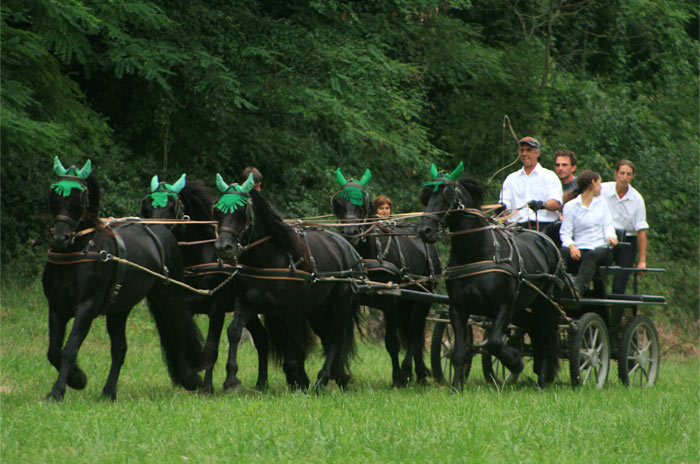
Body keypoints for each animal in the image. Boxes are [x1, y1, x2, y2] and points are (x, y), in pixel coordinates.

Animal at [43, 158, 202, 400]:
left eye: (80, 195)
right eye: (55, 192)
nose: (61, 237)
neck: (78, 251)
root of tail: (162, 231)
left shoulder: (87, 307)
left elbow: (69, 349)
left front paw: (60, 390)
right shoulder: (56, 307)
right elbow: (53, 351)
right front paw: (77, 379)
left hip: (168, 297)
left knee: (177, 336)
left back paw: (190, 379)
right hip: (119, 308)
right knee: (120, 348)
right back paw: (109, 392)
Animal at [139, 174, 268, 392]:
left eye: (173, 206)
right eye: (148, 205)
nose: (155, 234)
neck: (198, 257)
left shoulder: (217, 306)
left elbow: (212, 347)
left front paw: (207, 386)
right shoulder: (183, 306)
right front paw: (190, 377)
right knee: (261, 338)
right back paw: (261, 383)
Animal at [215, 172, 364, 390]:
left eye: (242, 211)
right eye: (217, 210)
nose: (223, 247)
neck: (268, 261)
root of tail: (347, 247)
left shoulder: (293, 310)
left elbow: (297, 347)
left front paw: (299, 380)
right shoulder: (247, 303)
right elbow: (234, 331)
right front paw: (231, 379)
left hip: (341, 303)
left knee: (336, 337)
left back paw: (322, 379)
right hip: (318, 310)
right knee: (327, 338)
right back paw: (338, 376)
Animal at [330, 169, 440, 386]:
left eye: (362, 204)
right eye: (340, 203)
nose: (350, 232)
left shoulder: (390, 301)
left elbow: (392, 342)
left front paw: (398, 377)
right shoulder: (350, 301)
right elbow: (342, 339)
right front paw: (340, 376)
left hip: (424, 296)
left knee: (415, 332)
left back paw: (413, 371)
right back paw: (419, 373)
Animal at [416, 162, 564, 388]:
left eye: (447, 196)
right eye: (426, 197)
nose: (425, 230)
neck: (477, 253)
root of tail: (546, 240)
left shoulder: (503, 306)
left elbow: (494, 343)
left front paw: (515, 362)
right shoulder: (457, 309)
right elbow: (459, 351)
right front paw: (456, 386)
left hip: (546, 301)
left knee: (547, 335)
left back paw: (542, 379)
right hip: (521, 307)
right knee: (534, 328)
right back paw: (539, 369)